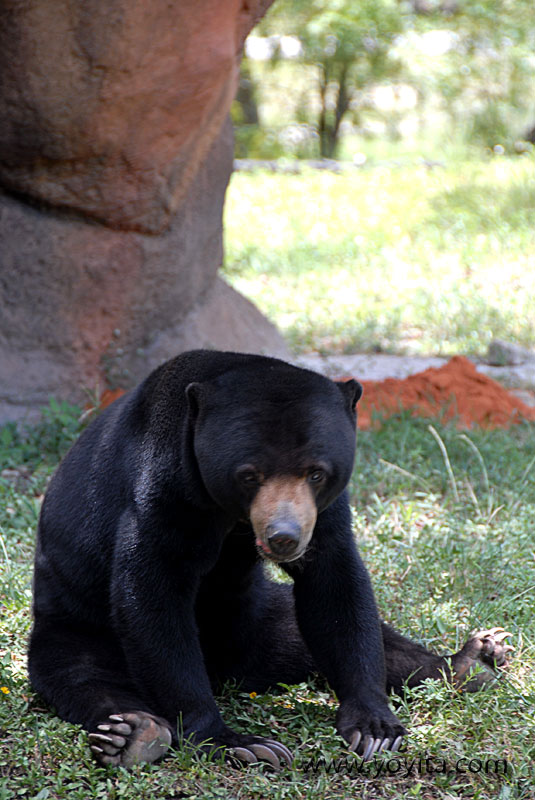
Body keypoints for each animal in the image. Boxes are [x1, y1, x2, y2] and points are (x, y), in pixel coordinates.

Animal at [27, 350, 512, 768]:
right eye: (249, 475)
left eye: (316, 473)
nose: (284, 537)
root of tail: (227, 669)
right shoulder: (163, 489)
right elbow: (153, 594)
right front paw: (238, 743)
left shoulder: (323, 515)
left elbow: (335, 586)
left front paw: (374, 728)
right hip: (76, 627)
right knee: (88, 678)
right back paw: (132, 734)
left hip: (262, 616)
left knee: (337, 639)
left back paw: (476, 659)